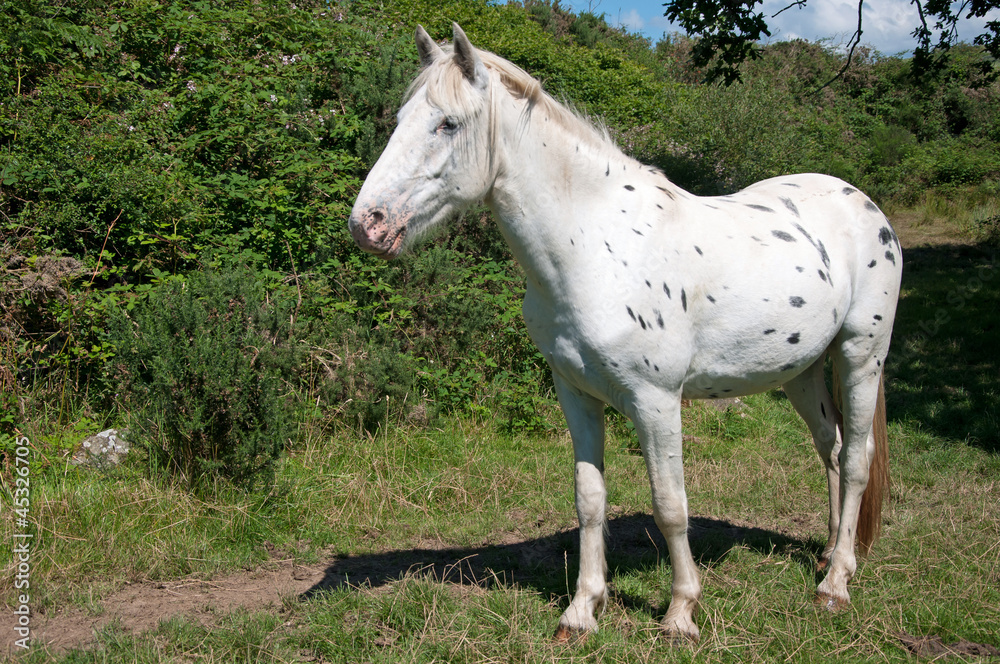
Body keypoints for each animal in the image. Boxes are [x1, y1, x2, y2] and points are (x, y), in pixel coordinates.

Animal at [349, 23, 902, 643]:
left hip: (860, 355)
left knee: (855, 458)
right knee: (830, 448)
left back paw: (836, 584)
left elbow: (670, 504)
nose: (366, 224)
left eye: (447, 123)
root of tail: (863, 204)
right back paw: (829, 556)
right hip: (800, 370)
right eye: (402, 118)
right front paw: (582, 610)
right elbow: (589, 499)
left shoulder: (656, 401)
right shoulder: (575, 393)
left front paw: (681, 612)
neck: (595, 245)